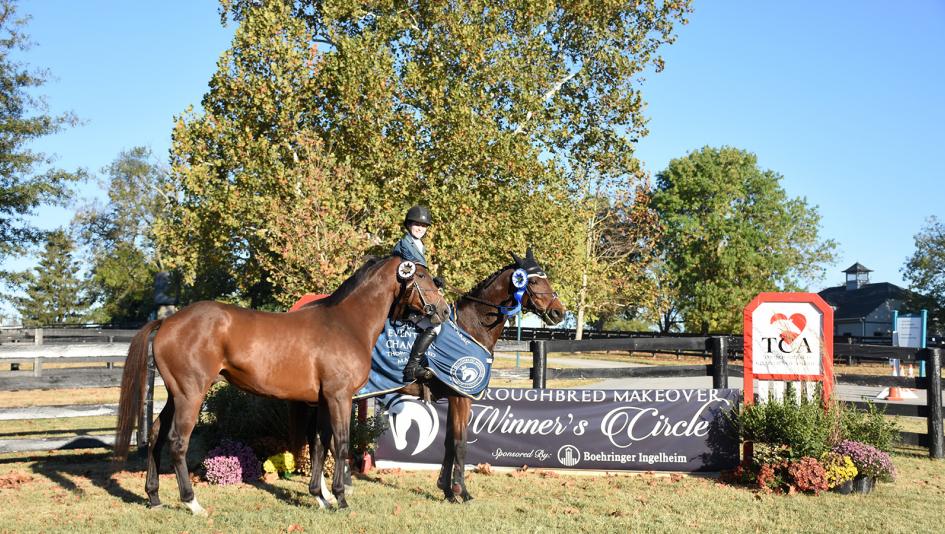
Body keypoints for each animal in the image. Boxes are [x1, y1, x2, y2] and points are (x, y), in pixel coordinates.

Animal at [113, 258, 446, 516]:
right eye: (421, 277)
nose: (442, 311)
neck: (347, 323)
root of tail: (167, 323)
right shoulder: (339, 397)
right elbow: (340, 444)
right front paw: (340, 498)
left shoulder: (322, 401)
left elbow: (319, 444)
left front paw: (320, 496)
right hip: (190, 395)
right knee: (177, 442)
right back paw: (193, 503)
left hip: (175, 395)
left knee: (156, 435)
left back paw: (154, 497)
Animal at [292, 249, 564, 504]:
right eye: (535, 281)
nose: (559, 313)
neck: (470, 328)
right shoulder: (462, 397)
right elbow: (460, 443)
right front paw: (462, 491)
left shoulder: (453, 398)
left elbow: (448, 443)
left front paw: (447, 489)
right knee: (323, 439)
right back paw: (335, 489)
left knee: (319, 440)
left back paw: (327, 492)